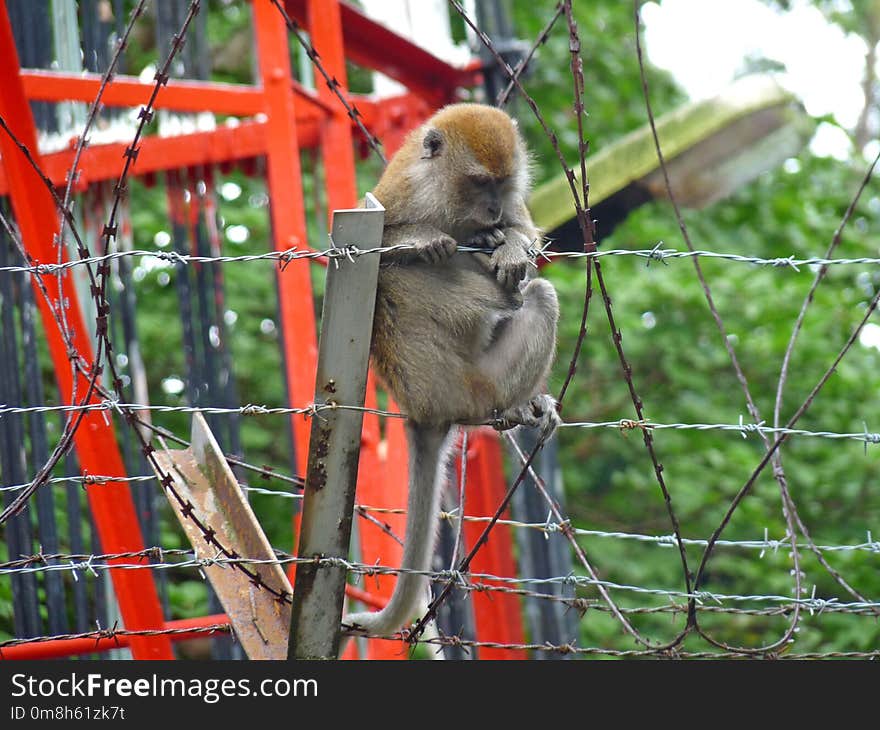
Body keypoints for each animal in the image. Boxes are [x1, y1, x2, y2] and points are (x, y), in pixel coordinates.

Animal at [340, 104, 560, 644]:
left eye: (501, 184)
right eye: (478, 182)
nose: (491, 211)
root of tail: (423, 408)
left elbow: (526, 233)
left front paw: (507, 246)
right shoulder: (402, 189)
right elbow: (388, 244)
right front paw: (426, 240)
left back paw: (532, 405)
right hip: (476, 386)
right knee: (531, 297)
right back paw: (516, 402)